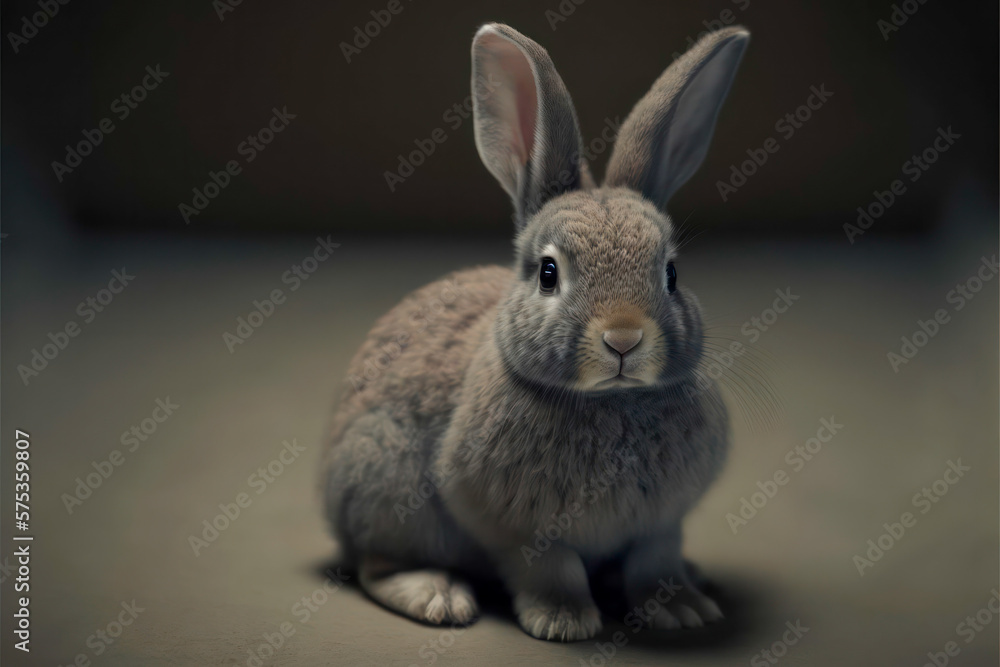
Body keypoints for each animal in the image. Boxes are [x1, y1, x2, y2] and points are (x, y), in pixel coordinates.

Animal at [323, 23, 749, 642]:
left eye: (671, 273)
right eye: (549, 273)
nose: (624, 339)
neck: (610, 401)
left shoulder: (661, 524)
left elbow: (655, 560)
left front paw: (683, 611)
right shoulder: (514, 527)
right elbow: (553, 567)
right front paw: (565, 624)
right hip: (387, 485)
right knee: (377, 565)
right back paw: (437, 597)